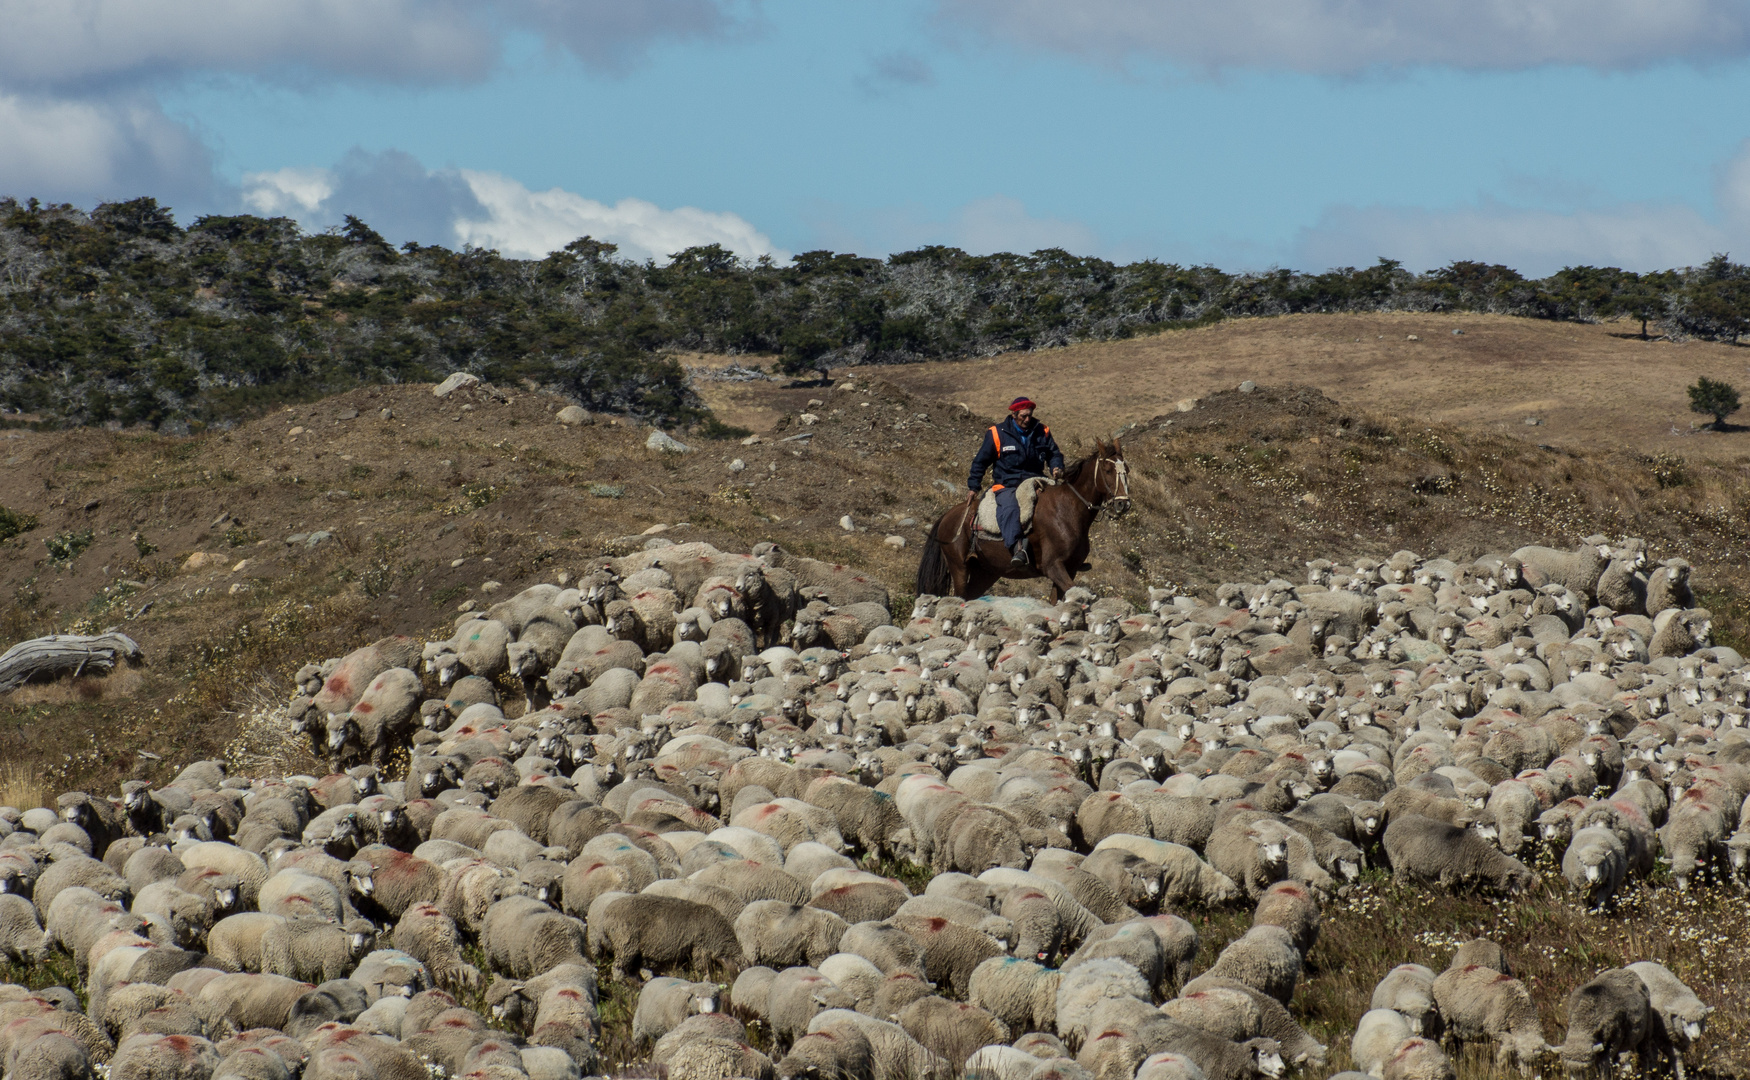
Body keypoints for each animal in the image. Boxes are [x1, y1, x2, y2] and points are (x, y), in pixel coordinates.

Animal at [917, 439, 1134, 605]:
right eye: (1107, 469)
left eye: (1127, 469)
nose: (1123, 504)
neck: (1067, 510)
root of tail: (949, 516)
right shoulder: (1053, 566)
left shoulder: (1070, 569)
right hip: (959, 568)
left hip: (985, 573)